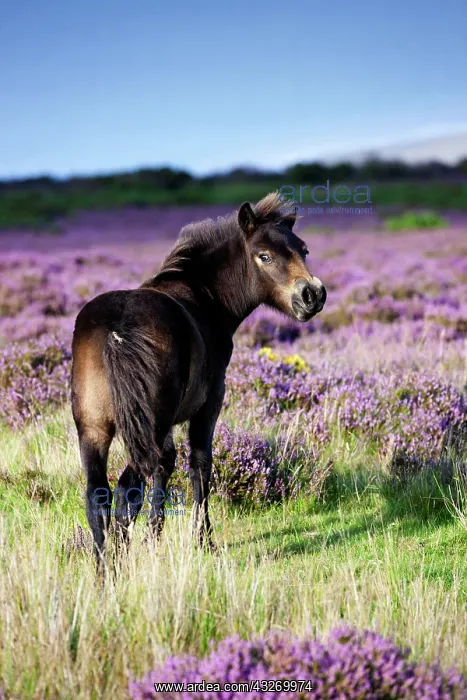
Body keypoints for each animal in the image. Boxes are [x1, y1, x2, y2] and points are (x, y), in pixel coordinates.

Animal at [71, 192, 327, 571]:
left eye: (303, 250)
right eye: (264, 256)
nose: (312, 295)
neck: (205, 299)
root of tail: (117, 330)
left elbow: (166, 468)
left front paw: (153, 539)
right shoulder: (209, 403)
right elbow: (200, 466)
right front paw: (202, 541)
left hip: (94, 430)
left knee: (98, 495)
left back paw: (106, 569)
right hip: (145, 427)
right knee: (127, 487)